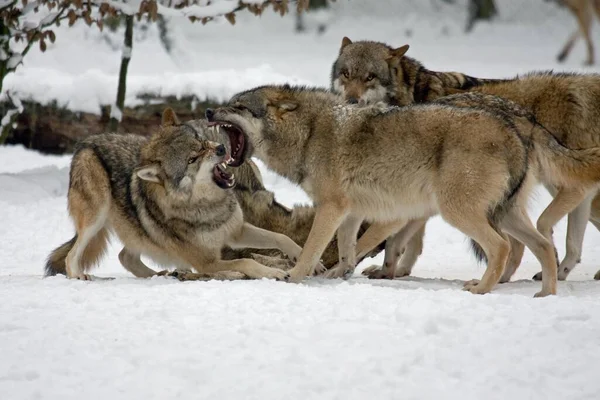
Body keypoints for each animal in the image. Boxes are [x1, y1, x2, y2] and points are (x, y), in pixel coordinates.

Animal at [44, 107, 302, 282]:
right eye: (192, 159)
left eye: (201, 142)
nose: (220, 149)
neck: (209, 206)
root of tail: (86, 142)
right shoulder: (206, 261)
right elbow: (246, 260)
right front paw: (274, 272)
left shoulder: (236, 231)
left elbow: (281, 238)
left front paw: (303, 255)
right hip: (95, 218)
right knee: (72, 255)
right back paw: (80, 276)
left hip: (137, 232)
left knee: (125, 257)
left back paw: (163, 274)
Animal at [330, 36, 600, 282]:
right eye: (346, 74)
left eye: (370, 77)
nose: (351, 101)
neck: (410, 93)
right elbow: (408, 241)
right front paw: (395, 271)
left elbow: (394, 239)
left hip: (555, 188)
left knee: (532, 234)